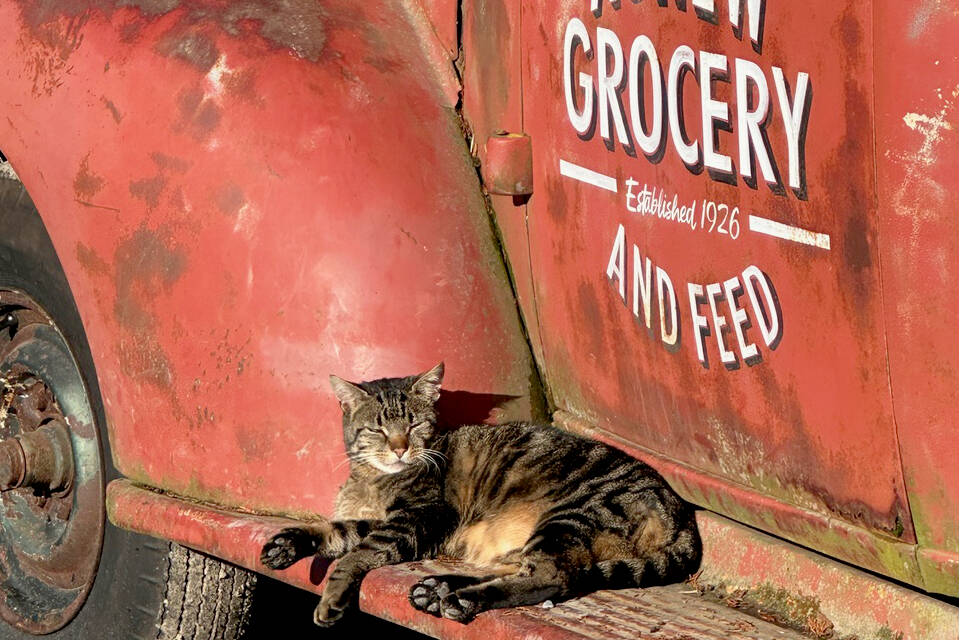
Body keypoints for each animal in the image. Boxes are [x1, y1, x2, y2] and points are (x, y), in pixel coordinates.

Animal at [260, 364, 696, 624]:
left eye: (414, 424)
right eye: (379, 430)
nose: (400, 448)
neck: (372, 479)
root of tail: (681, 513)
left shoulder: (418, 517)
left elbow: (357, 554)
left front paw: (332, 597)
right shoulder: (384, 519)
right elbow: (337, 529)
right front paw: (290, 541)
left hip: (570, 516)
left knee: (552, 577)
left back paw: (458, 598)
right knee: (524, 568)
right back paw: (441, 588)